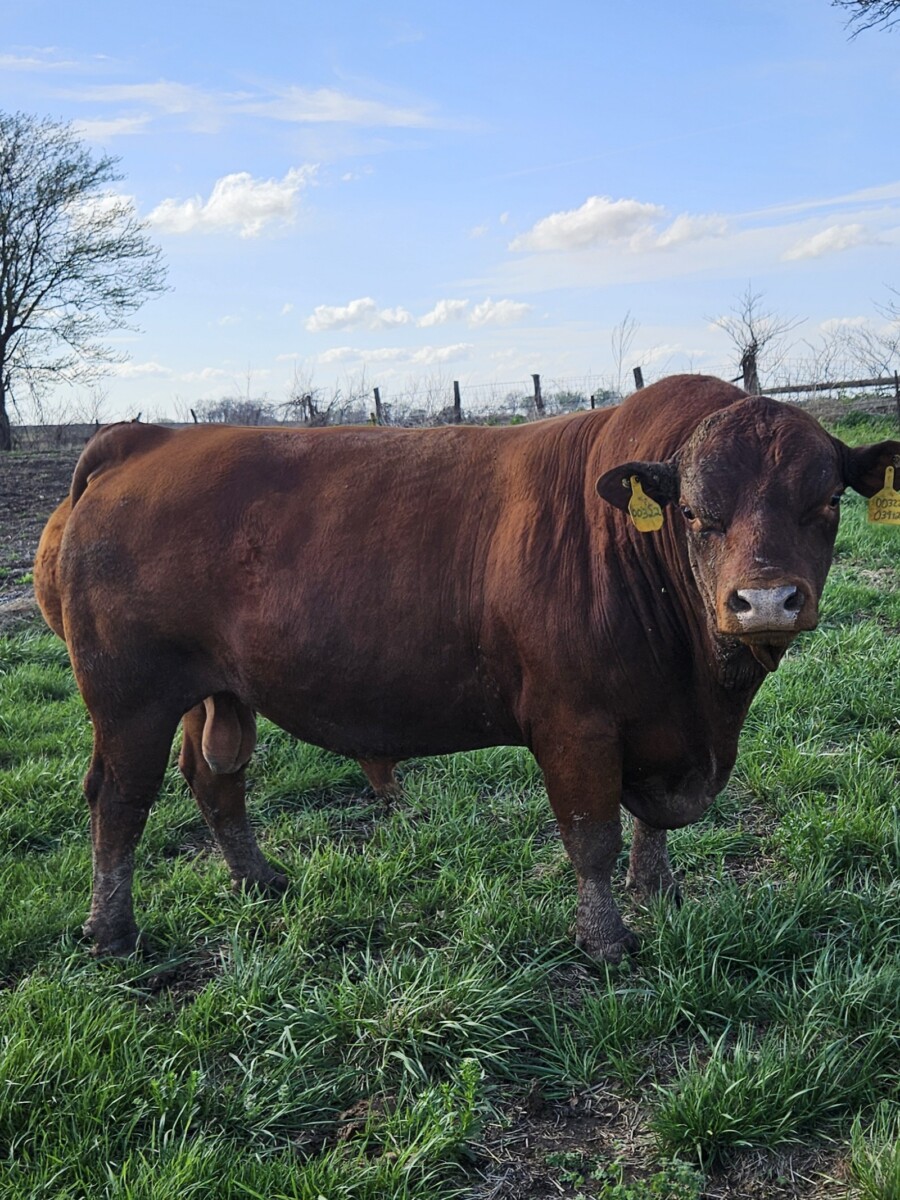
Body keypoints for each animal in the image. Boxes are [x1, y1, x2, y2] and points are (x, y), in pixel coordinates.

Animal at [33, 375, 900, 960]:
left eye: (826, 503)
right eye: (693, 512)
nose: (765, 601)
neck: (704, 692)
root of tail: (145, 439)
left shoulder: (667, 727)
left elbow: (652, 824)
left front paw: (660, 891)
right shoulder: (576, 724)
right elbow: (591, 837)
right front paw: (605, 941)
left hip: (211, 691)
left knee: (215, 778)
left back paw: (259, 879)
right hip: (129, 698)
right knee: (119, 801)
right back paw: (111, 929)